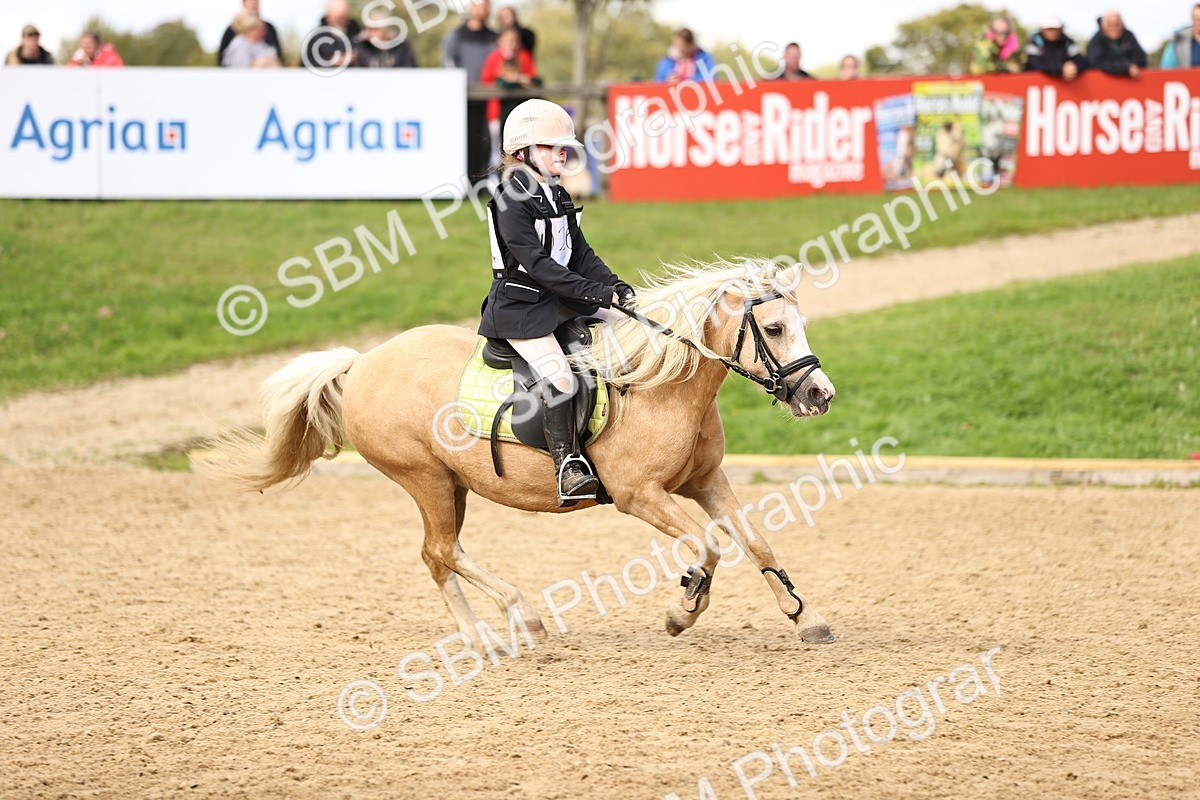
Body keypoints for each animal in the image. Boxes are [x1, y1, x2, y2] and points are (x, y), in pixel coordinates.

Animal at [201, 259, 838, 644]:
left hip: (451, 485)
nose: (820, 394)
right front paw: (683, 611)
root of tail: (363, 363)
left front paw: (804, 617)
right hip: (426, 479)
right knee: (439, 551)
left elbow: (755, 541)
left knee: (441, 555)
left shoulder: (704, 481)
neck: (658, 385)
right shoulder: (640, 495)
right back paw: (512, 623)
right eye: (775, 329)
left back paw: (489, 632)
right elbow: (707, 546)